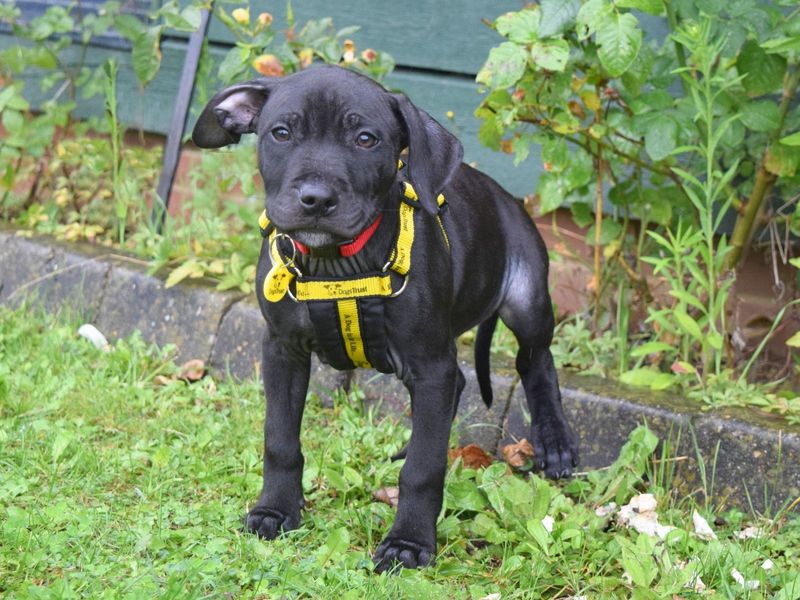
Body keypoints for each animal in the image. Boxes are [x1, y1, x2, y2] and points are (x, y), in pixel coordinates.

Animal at [194, 65, 580, 572]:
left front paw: (409, 541)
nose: (316, 198)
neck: (336, 264)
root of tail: (505, 195)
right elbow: (279, 439)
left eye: (365, 139)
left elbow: (424, 468)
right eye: (281, 133)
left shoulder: (433, 367)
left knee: (536, 362)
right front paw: (275, 510)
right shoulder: (282, 350)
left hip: (527, 298)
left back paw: (554, 442)